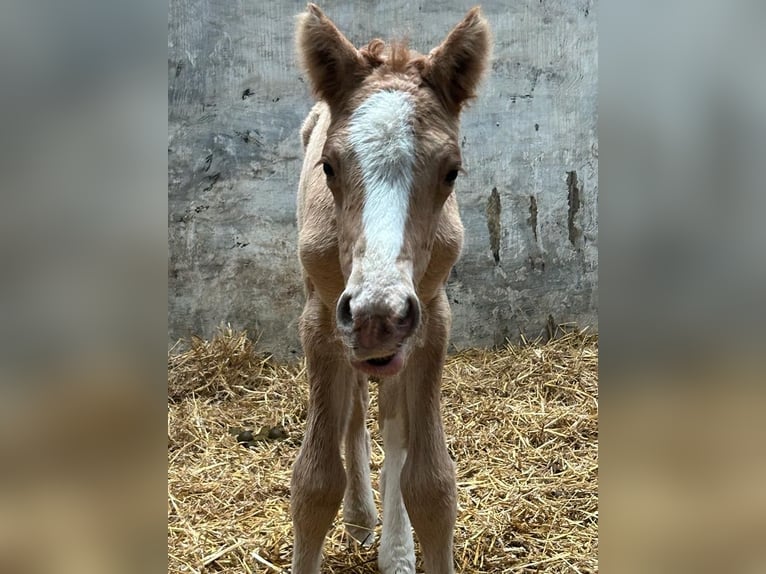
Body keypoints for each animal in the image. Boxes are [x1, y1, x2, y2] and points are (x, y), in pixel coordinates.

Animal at [292, 5, 488, 574]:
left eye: (452, 171)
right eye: (329, 166)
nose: (378, 315)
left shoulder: (432, 319)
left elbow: (432, 484)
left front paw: (402, 547)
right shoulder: (323, 317)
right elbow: (314, 482)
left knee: (393, 423)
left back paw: (395, 550)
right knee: (357, 407)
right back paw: (361, 517)